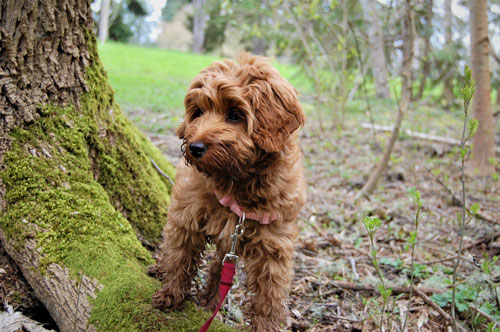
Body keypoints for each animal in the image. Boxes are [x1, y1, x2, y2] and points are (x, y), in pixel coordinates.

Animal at [152, 53, 306, 330]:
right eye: (198, 112)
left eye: (235, 114)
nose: (195, 147)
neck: (237, 182)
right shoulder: (186, 215)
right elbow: (180, 255)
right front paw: (171, 293)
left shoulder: (275, 242)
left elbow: (270, 293)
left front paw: (266, 325)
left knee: (218, 265)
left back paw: (211, 298)